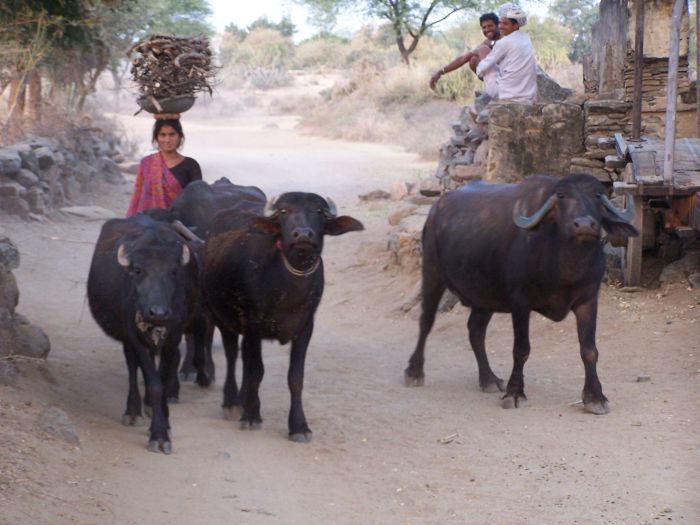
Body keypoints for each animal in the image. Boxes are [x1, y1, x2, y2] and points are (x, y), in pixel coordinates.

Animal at [87, 215, 198, 452]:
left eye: (173, 271)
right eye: (138, 270)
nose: (158, 312)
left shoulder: (173, 337)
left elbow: (162, 380)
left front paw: (164, 422)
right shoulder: (135, 338)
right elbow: (154, 383)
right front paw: (159, 434)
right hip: (127, 338)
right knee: (132, 367)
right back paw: (133, 411)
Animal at [202, 190, 364, 440]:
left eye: (319, 211)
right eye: (284, 211)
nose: (303, 234)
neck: (287, 289)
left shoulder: (305, 328)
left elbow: (295, 377)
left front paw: (299, 426)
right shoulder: (253, 325)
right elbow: (256, 371)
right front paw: (251, 416)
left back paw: (243, 399)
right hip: (223, 320)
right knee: (232, 356)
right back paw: (232, 402)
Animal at [404, 173, 640, 414]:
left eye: (597, 195)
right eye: (562, 196)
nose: (584, 224)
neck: (565, 266)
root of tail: (436, 208)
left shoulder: (588, 300)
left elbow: (589, 350)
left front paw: (595, 397)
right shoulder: (520, 301)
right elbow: (521, 349)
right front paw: (515, 393)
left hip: (484, 298)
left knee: (475, 331)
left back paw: (489, 379)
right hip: (432, 272)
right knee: (426, 321)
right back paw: (414, 371)